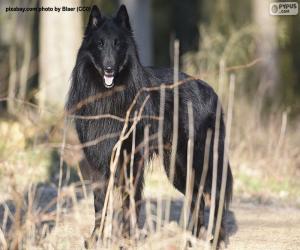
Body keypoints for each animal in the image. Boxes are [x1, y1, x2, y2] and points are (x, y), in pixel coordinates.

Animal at [67, 3, 233, 246]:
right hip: (177, 168)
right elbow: (100, 204)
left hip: (198, 161)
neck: (110, 97)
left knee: (215, 196)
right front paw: (96, 238)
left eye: (118, 44)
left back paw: (216, 241)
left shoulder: (131, 161)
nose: (108, 69)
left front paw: (128, 239)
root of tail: (212, 92)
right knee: (197, 199)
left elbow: (129, 202)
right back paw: (191, 239)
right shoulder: (98, 162)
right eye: (100, 44)